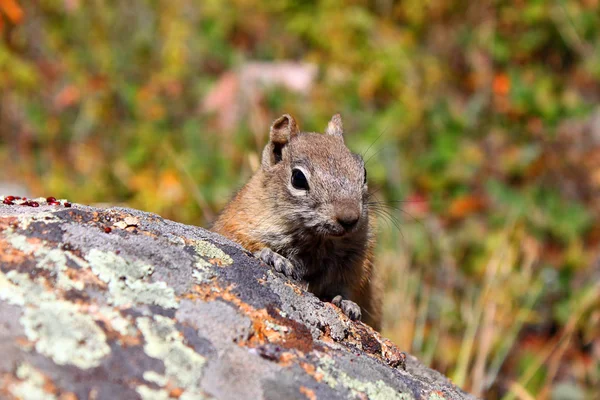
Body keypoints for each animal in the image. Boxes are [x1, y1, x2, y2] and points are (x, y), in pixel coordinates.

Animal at [216, 113, 382, 332]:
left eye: (364, 173)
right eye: (298, 178)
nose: (350, 218)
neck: (317, 239)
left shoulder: (357, 263)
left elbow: (345, 288)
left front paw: (347, 303)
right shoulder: (237, 225)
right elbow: (247, 243)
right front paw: (274, 258)